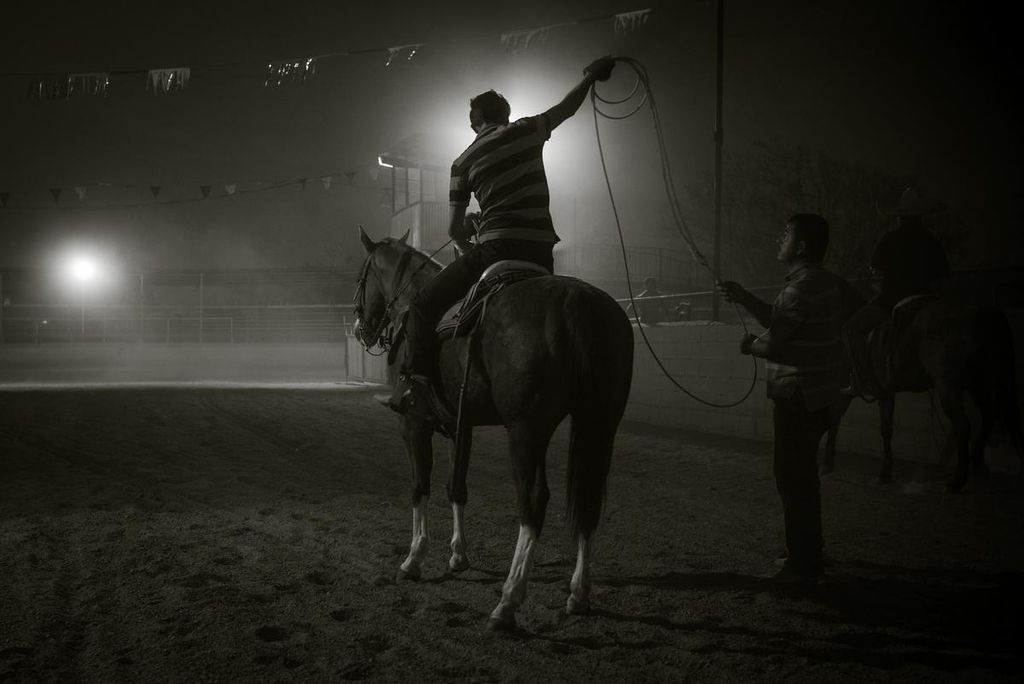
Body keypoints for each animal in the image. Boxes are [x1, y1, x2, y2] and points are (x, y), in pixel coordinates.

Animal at [356, 231, 634, 630]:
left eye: (361, 279)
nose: (360, 327)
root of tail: (578, 301)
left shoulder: (413, 424)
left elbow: (420, 487)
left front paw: (413, 559)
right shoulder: (462, 425)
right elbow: (456, 487)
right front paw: (457, 556)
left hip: (525, 431)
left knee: (533, 502)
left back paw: (508, 600)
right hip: (600, 425)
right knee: (588, 501)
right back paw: (579, 594)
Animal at [819, 296, 1019, 489]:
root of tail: (980, 314)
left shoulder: (851, 388)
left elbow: (836, 418)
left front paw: (828, 462)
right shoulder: (886, 392)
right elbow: (886, 429)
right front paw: (885, 472)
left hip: (948, 387)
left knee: (963, 425)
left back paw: (959, 479)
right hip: (977, 384)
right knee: (989, 416)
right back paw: (978, 464)